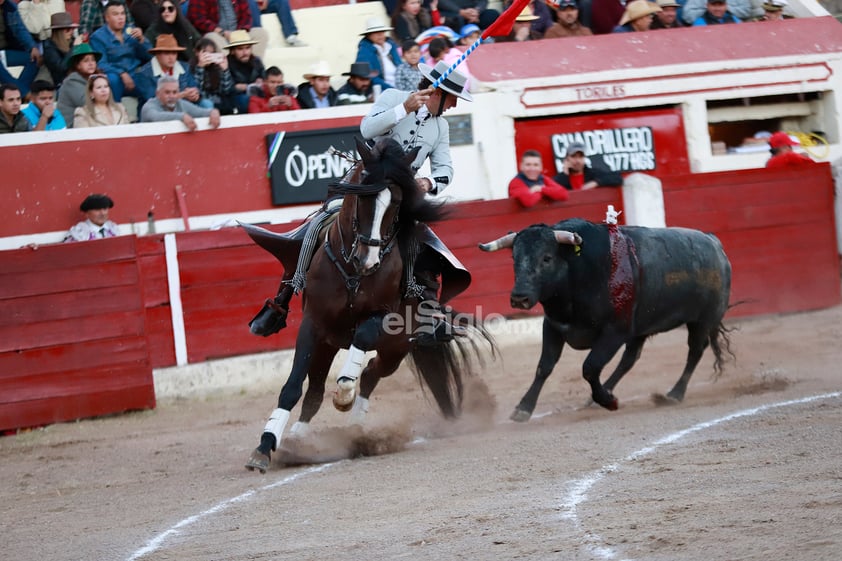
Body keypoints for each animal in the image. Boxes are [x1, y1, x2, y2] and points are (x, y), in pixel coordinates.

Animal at [243, 138, 488, 470]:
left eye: (396, 203)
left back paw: (355, 427)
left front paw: (344, 393)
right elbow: (293, 386)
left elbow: (361, 339)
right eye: (362, 197)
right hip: (329, 344)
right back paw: (297, 440)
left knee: (371, 373)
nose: (367, 259)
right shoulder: (314, 325)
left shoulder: (383, 318)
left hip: (397, 347)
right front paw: (264, 446)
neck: (354, 273)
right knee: (316, 391)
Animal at [480, 217, 728, 418]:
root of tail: (714, 241)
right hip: (641, 328)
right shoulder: (553, 326)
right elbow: (544, 366)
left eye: (547, 258)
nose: (519, 297)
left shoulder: (615, 331)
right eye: (514, 259)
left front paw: (609, 401)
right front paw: (523, 408)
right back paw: (599, 396)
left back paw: (674, 394)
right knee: (630, 359)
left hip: (703, 320)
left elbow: (590, 367)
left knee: (695, 351)